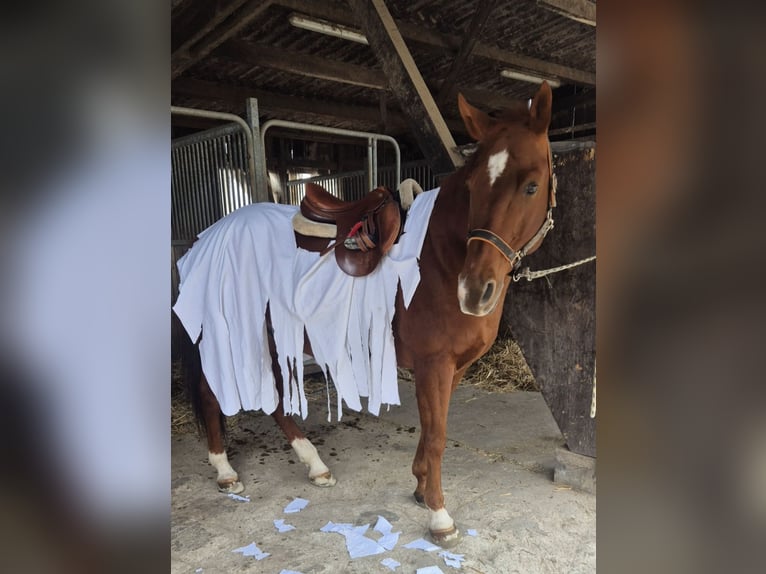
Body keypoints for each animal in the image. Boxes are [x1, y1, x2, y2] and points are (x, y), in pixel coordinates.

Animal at [179, 81, 555, 547]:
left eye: (532, 186)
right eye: (473, 188)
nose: (474, 291)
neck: (439, 259)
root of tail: (209, 234)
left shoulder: (454, 368)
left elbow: (433, 429)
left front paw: (420, 486)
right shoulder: (434, 365)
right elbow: (437, 436)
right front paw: (439, 515)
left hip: (273, 335)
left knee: (278, 402)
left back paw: (315, 465)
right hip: (229, 334)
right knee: (213, 395)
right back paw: (226, 471)